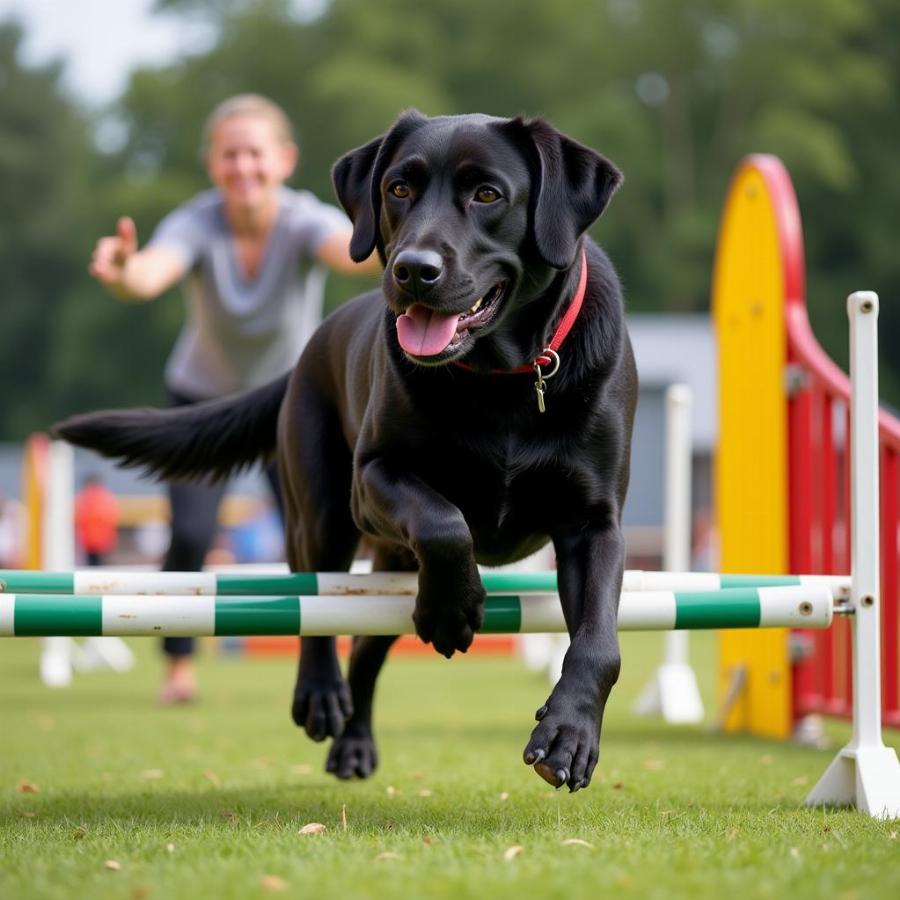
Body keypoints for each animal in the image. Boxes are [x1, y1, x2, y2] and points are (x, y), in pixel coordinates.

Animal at [56, 112, 636, 796]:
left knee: (366, 644)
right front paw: (453, 609)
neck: (502, 379)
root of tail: (307, 350)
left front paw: (569, 736)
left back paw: (355, 740)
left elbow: (599, 641)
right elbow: (444, 523)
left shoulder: (592, 522)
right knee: (314, 606)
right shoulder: (373, 479)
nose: (413, 269)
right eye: (398, 188)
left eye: (488, 194)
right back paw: (323, 695)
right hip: (324, 512)